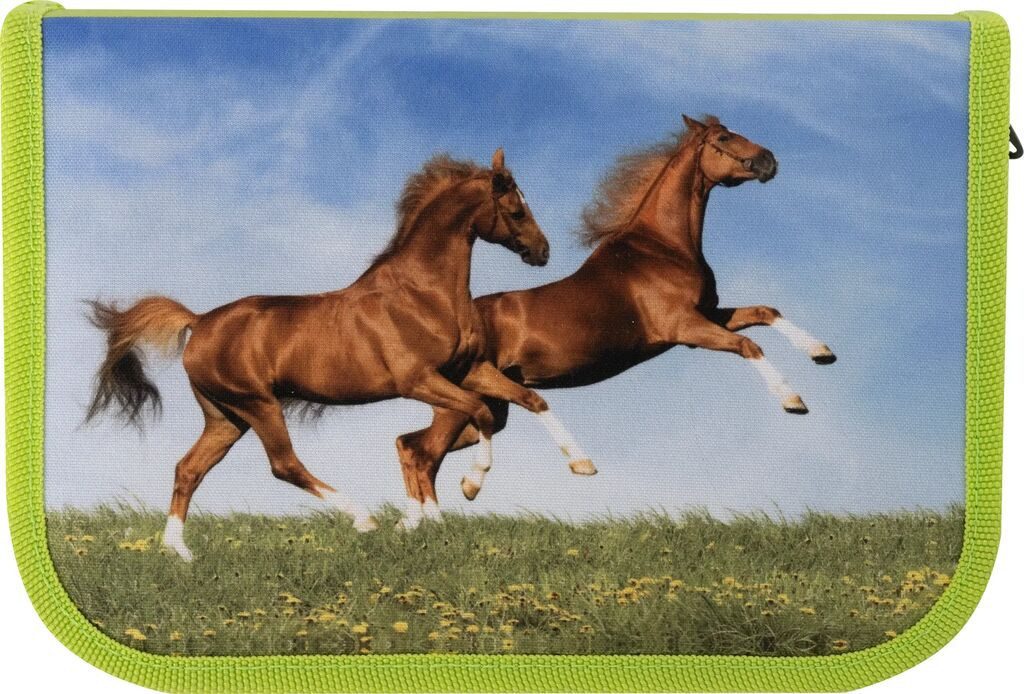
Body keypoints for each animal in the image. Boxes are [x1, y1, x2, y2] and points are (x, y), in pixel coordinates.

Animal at [86, 148, 583, 559]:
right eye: (516, 208)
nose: (542, 252)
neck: (422, 294)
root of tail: (201, 320)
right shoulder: (419, 380)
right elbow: (479, 414)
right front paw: (469, 487)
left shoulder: (469, 370)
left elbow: (532, 399)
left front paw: (583, 465)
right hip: (258, 404)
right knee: (284, 465)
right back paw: (364, 519)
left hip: (226, 416)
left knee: (188, 469)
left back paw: (179, 553)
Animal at [396, 115, 836, 502]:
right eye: (724, 138)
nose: (768, 160)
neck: (663, 247)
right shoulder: (686, 328)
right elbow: (749, 346)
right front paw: (793, 400)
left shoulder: (709, 315)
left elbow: (765, 312)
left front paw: (821, 352)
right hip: (464, 404)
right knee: (422, 454)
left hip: (486, 407)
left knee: (412, 446)